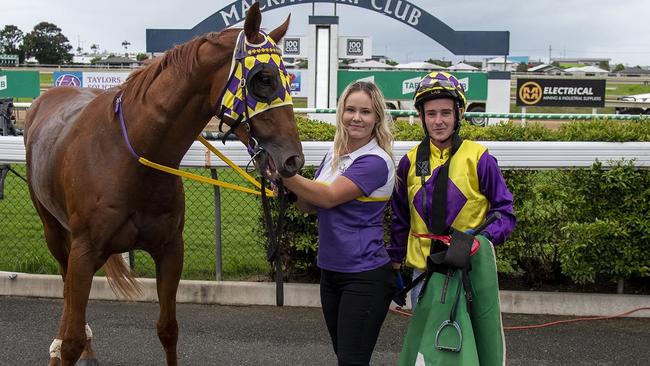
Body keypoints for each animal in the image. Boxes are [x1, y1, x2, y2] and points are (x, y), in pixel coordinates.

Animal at [22, 3, 302, 366]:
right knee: (67, 289)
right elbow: (71, 337)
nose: (293, 160)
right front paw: (67, 346)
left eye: (290, 78)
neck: (132, 157)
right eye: (264, 79)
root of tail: (52, 93)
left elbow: (168, 329)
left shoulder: (170, 249)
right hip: (53, 229)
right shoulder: (84, 251)